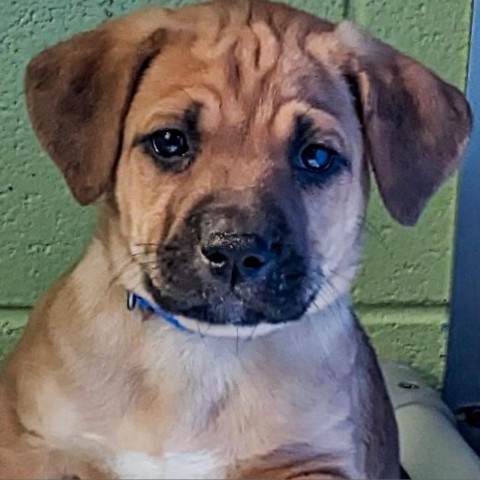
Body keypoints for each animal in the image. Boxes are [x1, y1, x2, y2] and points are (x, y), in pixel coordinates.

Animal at [0, 1, 470, 478]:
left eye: (317, 157)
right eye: (169, 142)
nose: (235, 249)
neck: (201, 349)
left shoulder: (318, 462)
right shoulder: (30, 445)